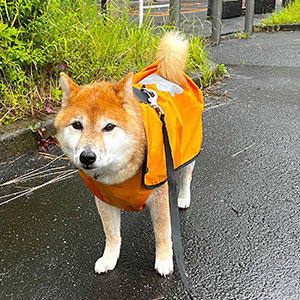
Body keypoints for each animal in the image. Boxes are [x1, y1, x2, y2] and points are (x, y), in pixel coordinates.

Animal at [54, 32, 204, 276]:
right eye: (77, 125)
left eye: (109, 127)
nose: (87, 157)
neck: (118, 173)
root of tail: (167, 72)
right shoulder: (105, 200)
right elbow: (112, 235)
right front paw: (109, 258)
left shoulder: (160, 195)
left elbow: (163, 233)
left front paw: (164, 260)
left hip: (185, 153)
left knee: (185, 177)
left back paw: (182, 198)